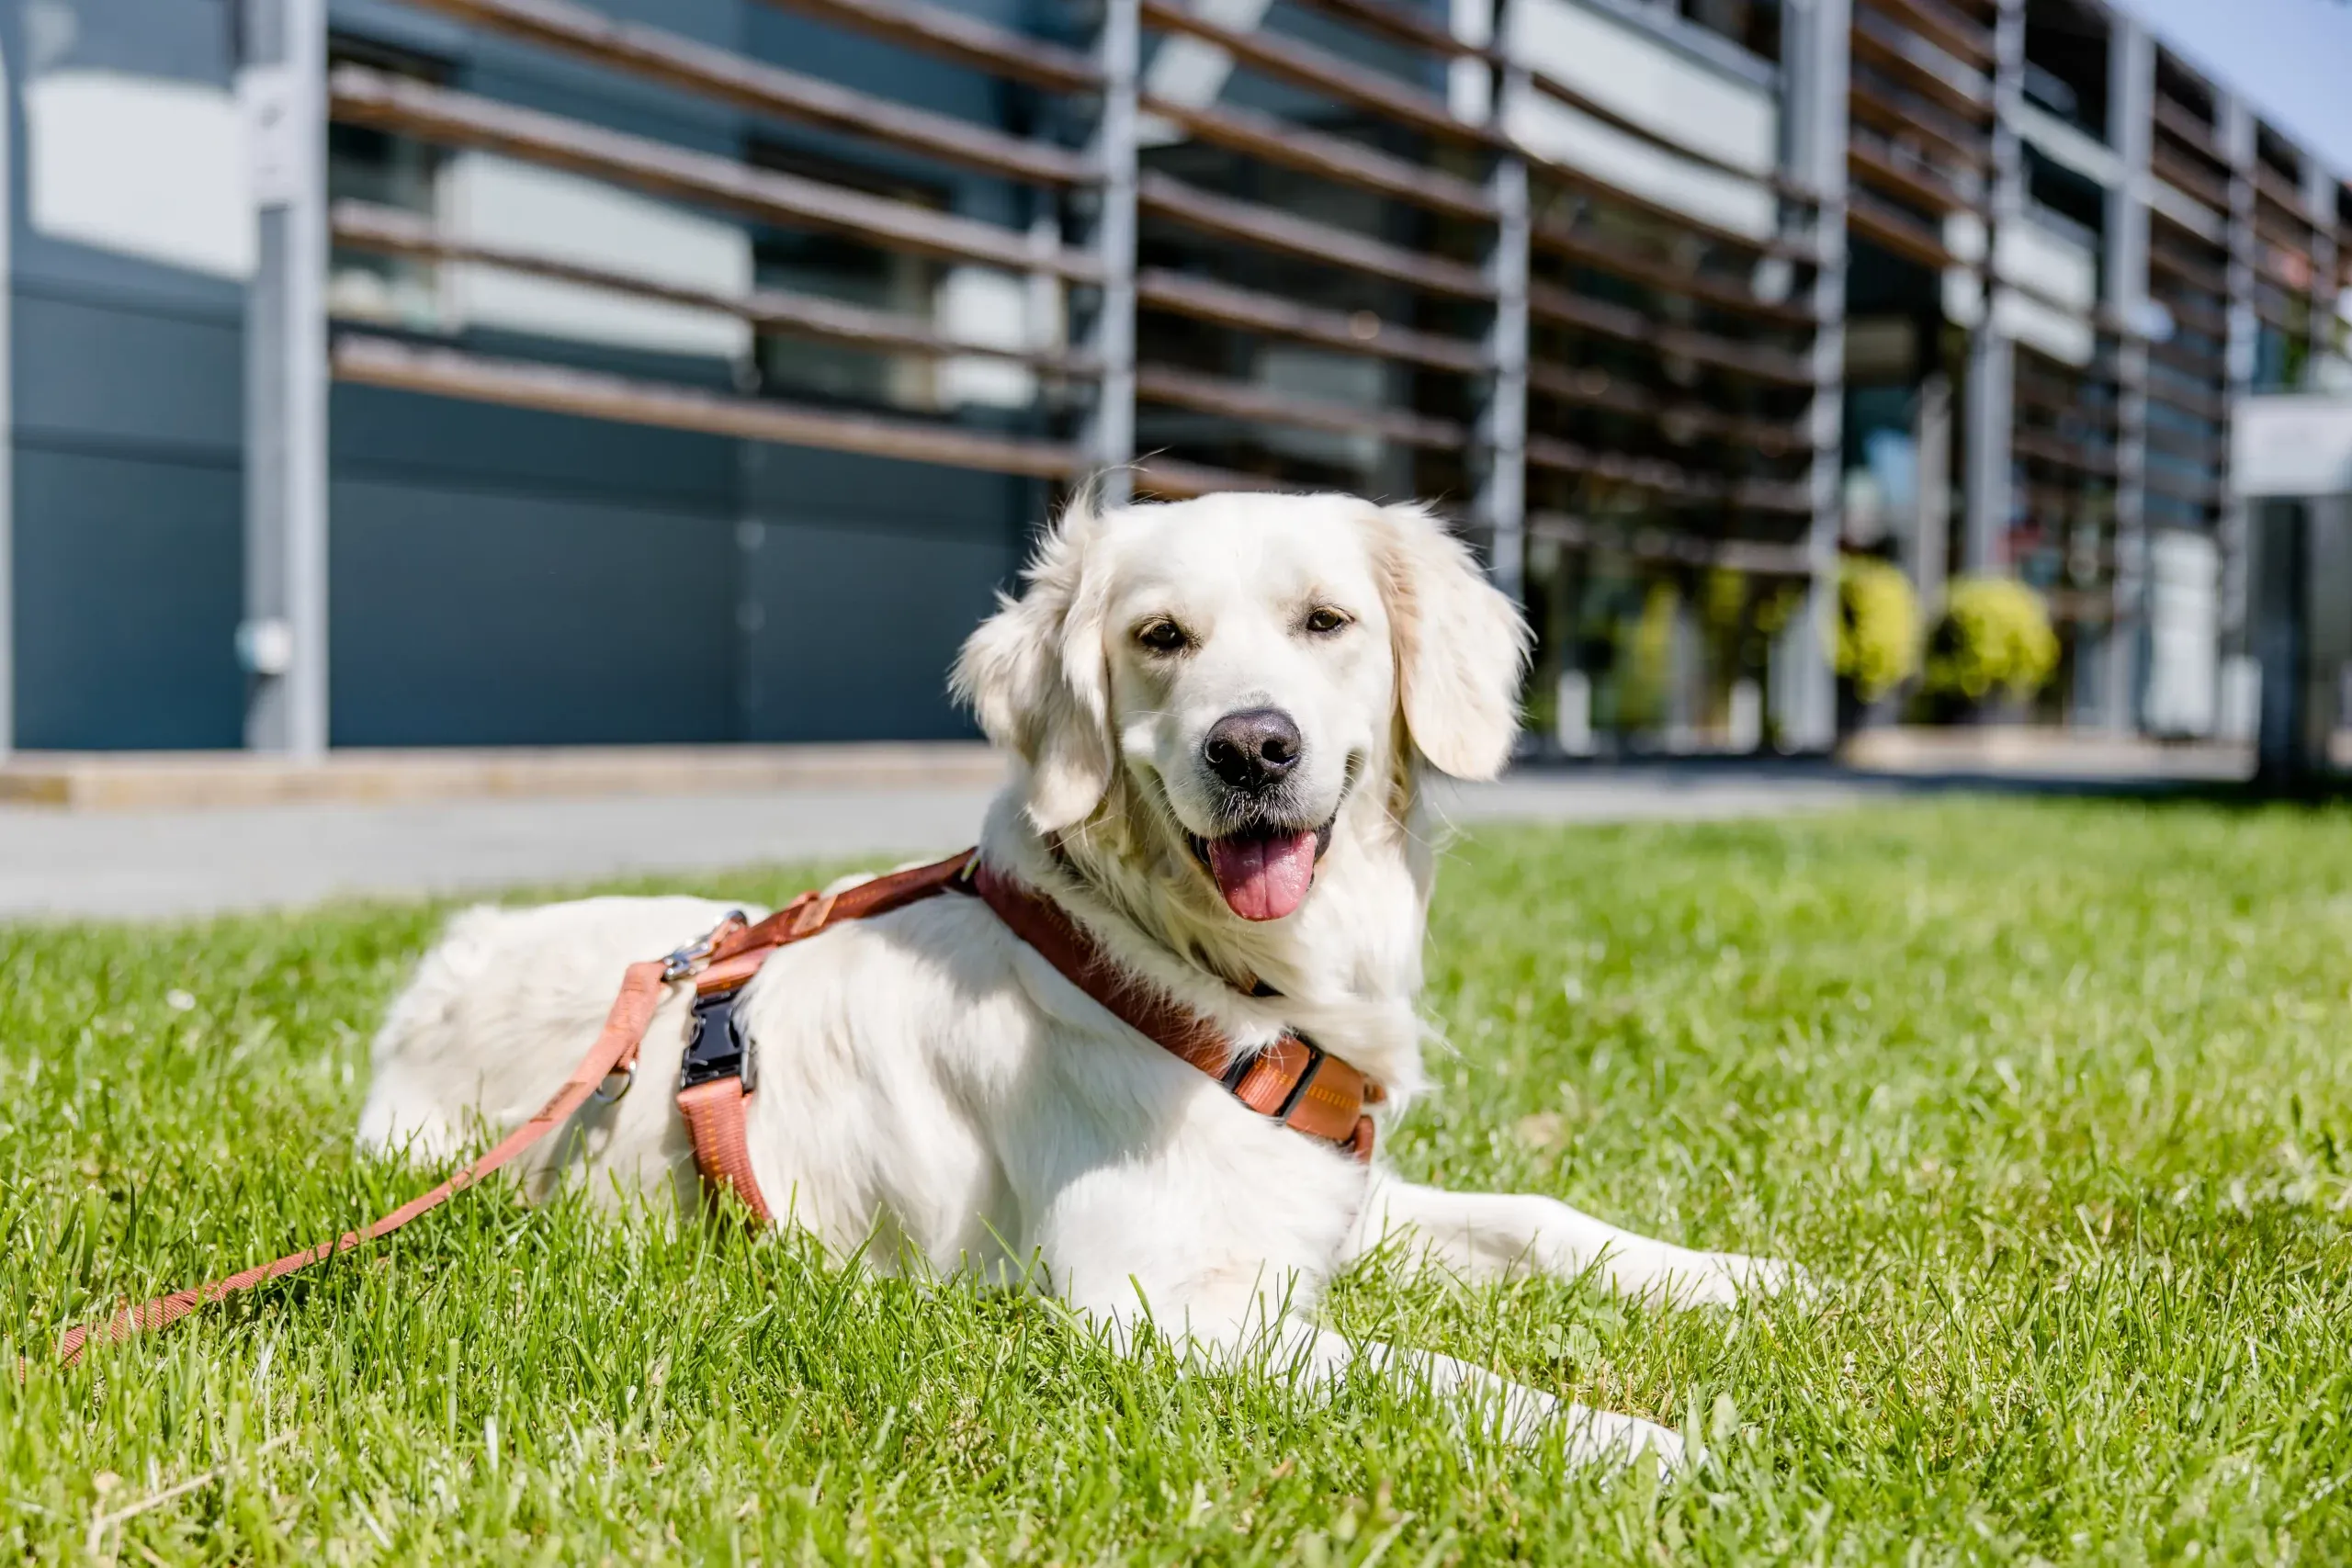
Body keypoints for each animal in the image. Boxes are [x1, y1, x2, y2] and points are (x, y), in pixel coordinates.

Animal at [362, 493, 1796, 1476]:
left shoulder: (1328, 1199)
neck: (1217, 980)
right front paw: (1645, 1441)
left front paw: (1755, 1281)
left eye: (1327, 621)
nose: (1253, 746)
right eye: (1160, 637)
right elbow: (1433, 1368)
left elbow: (1539, 1218)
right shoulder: (1160, 1303)